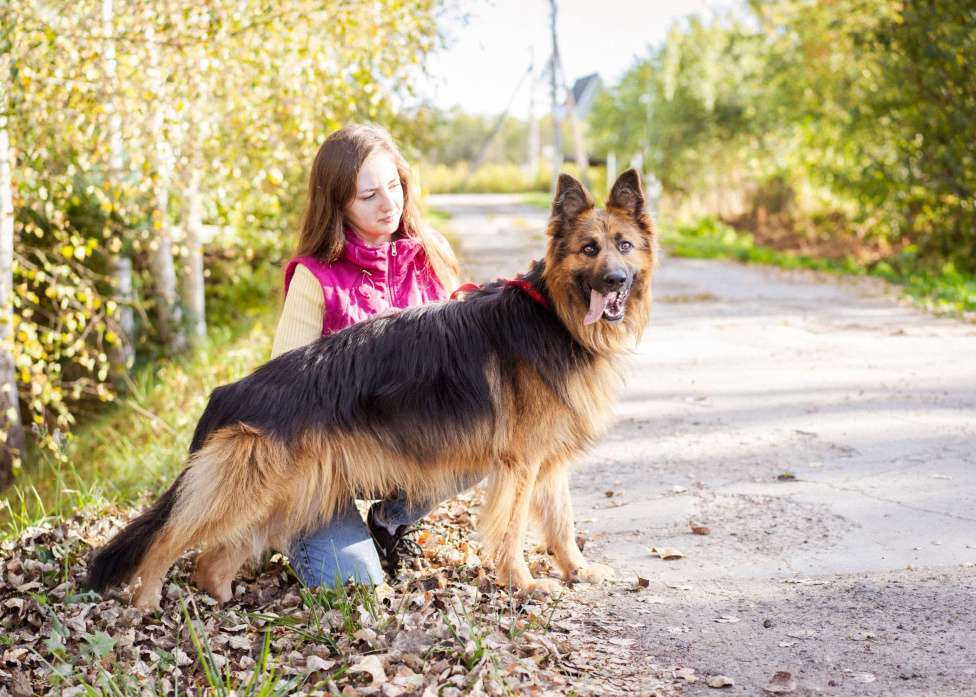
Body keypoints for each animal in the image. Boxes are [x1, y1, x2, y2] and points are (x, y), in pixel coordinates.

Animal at [86, 170, 656, 608]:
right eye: (588, 249)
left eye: (624, 246)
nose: (615, 282)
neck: (555, 316)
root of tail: (226, 392)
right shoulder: (520, 465)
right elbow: (514, 530)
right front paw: (522, 583)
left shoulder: (546, 461)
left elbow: (561, 523)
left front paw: (577, 570)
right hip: (248, 489)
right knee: (167, 540)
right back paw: (146, 602)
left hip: (285, 497)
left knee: (209, 560)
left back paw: (224, 600)